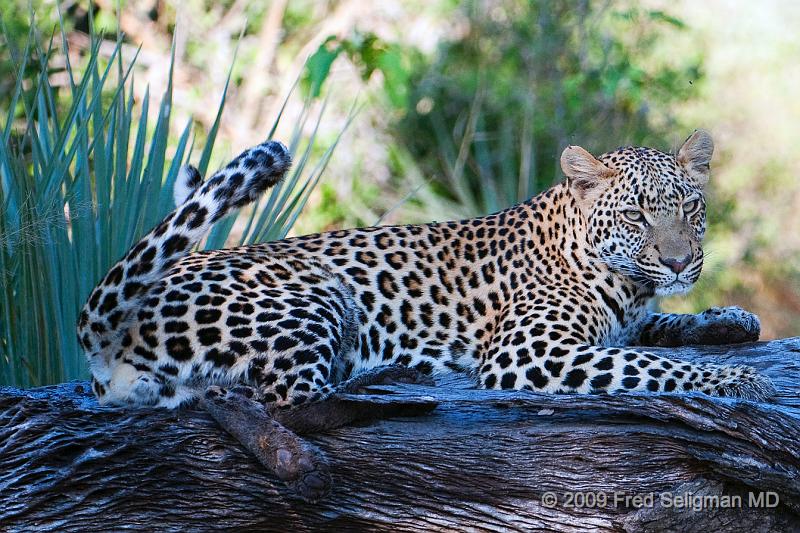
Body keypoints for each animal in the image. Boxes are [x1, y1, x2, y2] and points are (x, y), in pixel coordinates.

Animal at [76, 129, 776, 408]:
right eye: (635, 214)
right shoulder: (532, 352)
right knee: (289, 397)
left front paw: (730, 320)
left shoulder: (625, 319)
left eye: (689, 208)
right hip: (316, 294)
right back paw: (403, 376)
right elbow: (653, 365)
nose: (680, 260)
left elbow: (658, 333)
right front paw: (739, 382)